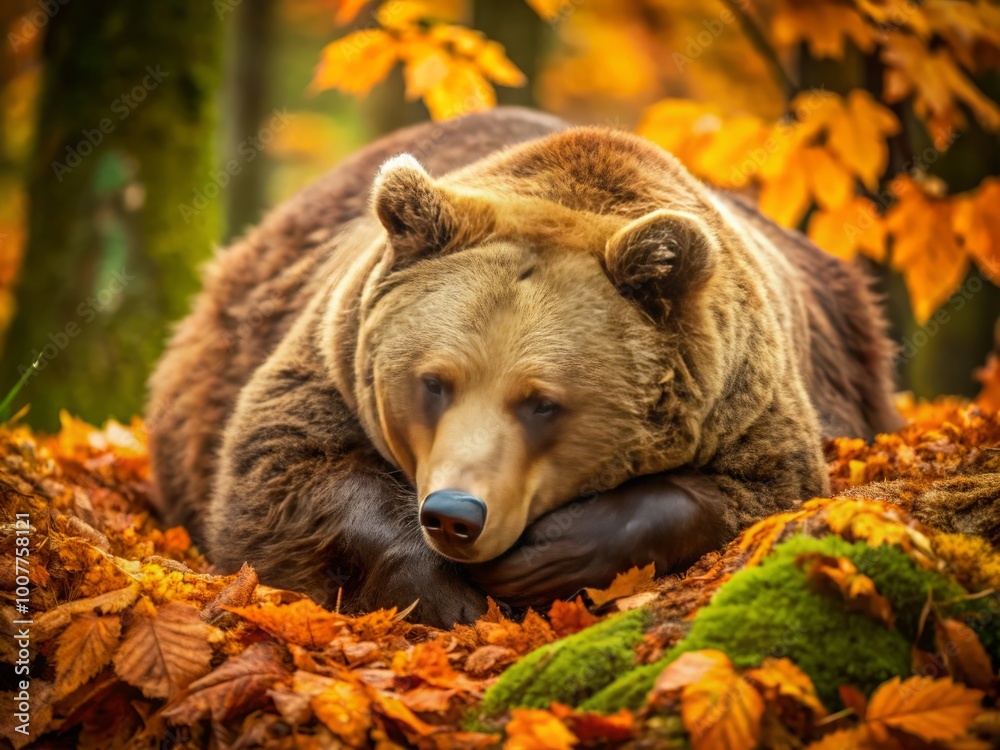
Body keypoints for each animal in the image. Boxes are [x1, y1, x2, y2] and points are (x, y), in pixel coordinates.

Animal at [147, 107, 904, 627]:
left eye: (542, 401)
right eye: (434, 382)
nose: (455, 514)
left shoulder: (749, 396)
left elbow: (762, 492)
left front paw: (555, 554)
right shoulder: (330, 357)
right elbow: (280, 479)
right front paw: (448, 598)